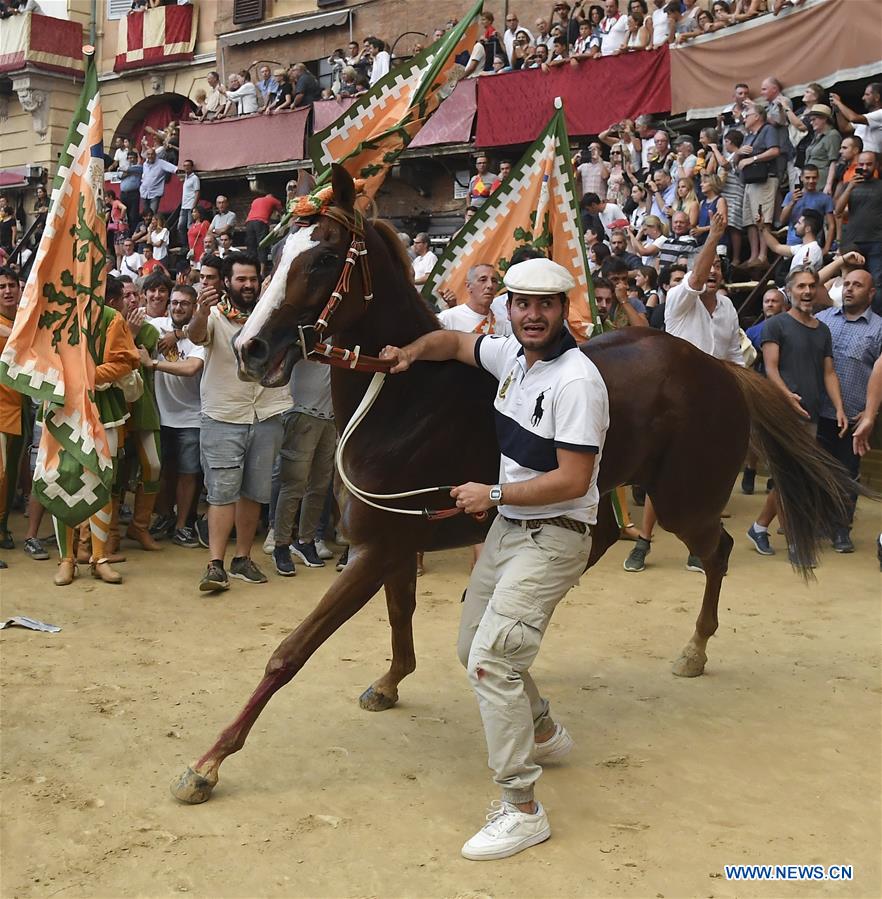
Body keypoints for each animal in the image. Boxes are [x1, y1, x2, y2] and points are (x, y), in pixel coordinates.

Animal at [170, 165, 852, 804]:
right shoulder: (392, 543)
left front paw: (208, 763)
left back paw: (694, 650)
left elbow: (292, 650)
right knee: (606, 538)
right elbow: (399, 612)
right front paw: (391, 681)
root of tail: (718, 365)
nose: (252, 348)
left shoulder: (374, 549)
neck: (403, 399)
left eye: (321, 258)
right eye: (275, 256)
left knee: (717, 551)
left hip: (685, 498)